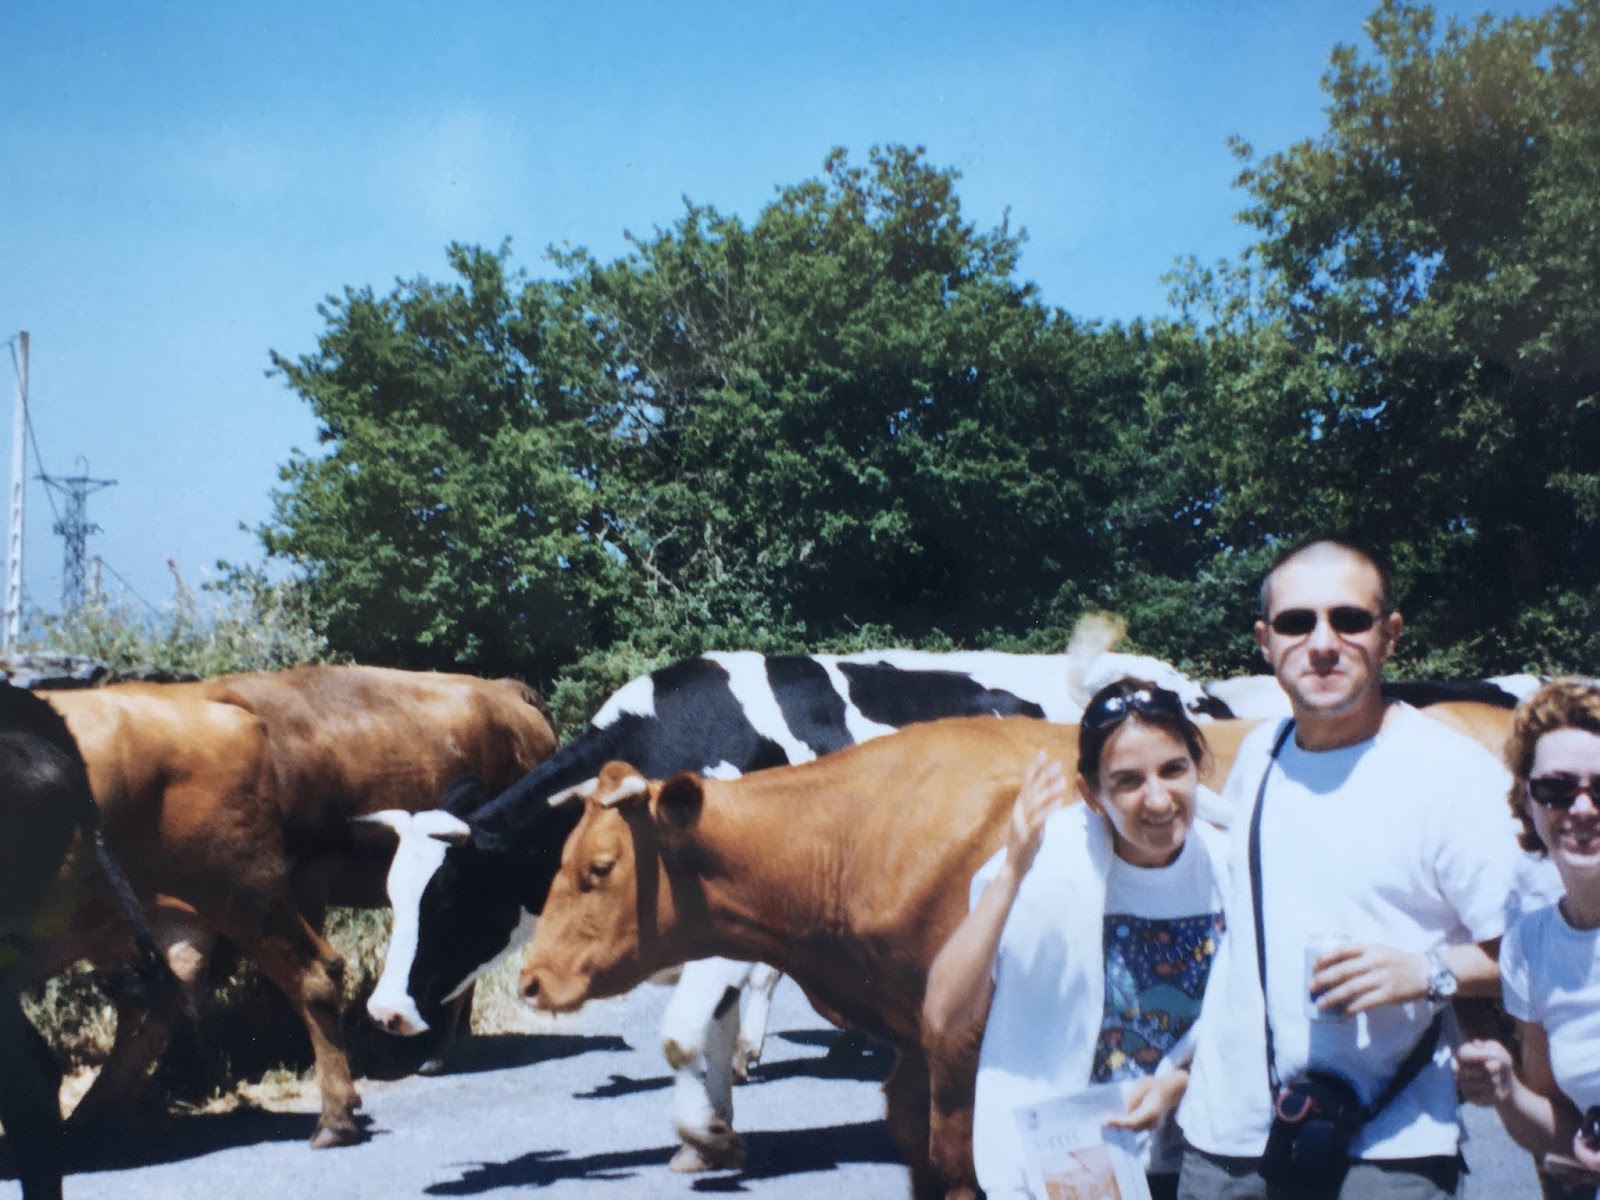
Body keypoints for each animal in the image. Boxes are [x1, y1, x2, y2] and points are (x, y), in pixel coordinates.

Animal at [363, 646, 1222, 1169]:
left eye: (449, 895)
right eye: (391, 893)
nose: (385, 1011)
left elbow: (683, 1034)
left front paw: (705, 1134)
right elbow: (704, 1034)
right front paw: (712, 1129)